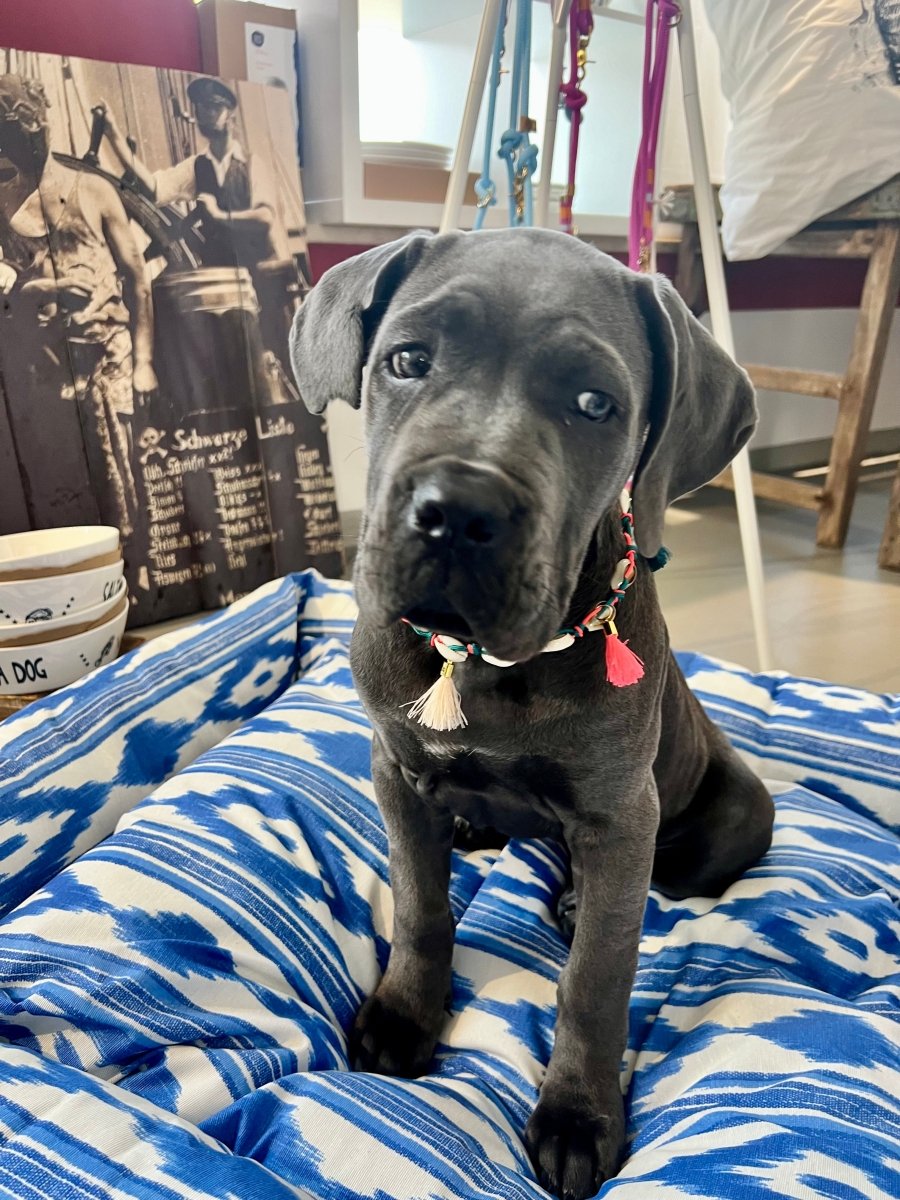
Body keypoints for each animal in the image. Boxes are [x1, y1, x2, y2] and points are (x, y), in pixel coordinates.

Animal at [290, 226, 777, 1200]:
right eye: (407, 360)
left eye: (596, 404)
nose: (457, 512)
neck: (490, 667)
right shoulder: (395, 769)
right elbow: (420, 908)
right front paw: (405, 1014)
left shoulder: (621, 812)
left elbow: (598, 978)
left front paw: (577, 1116)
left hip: (740, 811)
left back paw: (577, 896)